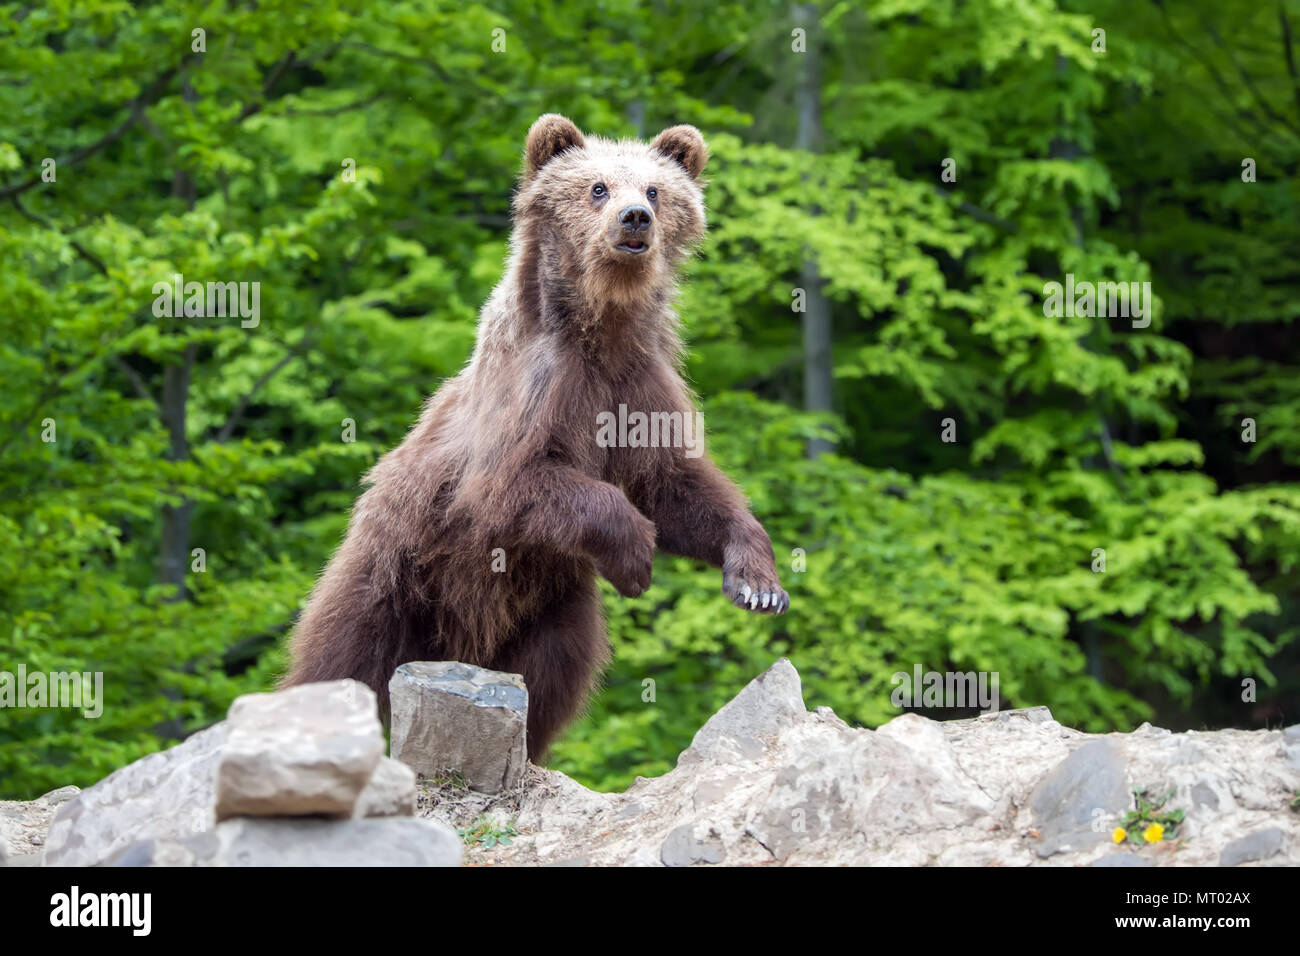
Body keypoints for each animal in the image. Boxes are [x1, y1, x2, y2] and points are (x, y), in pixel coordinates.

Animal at [281, 114, 788, 761]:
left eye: (655, 191)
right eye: (597, 187)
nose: (634, 218)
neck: (602, 333)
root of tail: (459, 648)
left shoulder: (639, 390)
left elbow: (675, 483)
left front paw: (757, 582)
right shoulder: (533, 393)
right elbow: (517, 483)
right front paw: (638, 553)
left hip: (551, 606)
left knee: (555, 671)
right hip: (392, 574)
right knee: (341, 659)